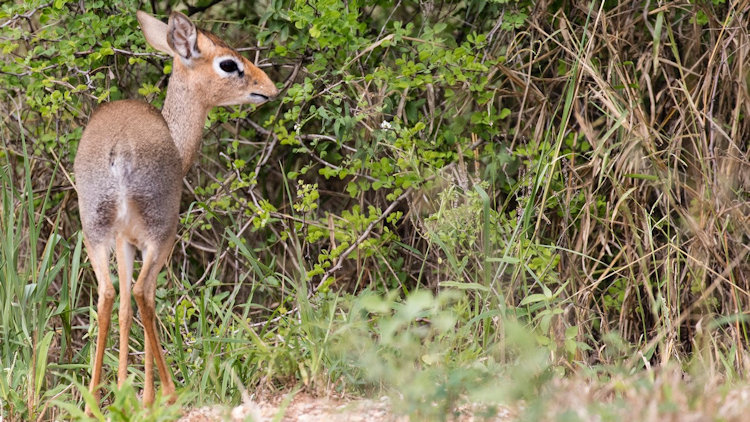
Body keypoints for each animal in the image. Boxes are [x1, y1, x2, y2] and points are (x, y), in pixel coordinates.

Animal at [74, 10, 280, 412]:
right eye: (228, 63)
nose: (270, 88)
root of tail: (119, 149)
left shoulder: (123, 243)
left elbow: (123, 309)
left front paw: (123, 392)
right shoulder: (147, 242)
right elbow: (139, 301)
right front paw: (143, 397)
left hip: (96, 234)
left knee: (109, 295)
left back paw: (93, 402)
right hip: (162, 235)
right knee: (145, 294)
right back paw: (167, 393)